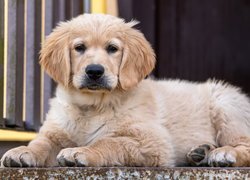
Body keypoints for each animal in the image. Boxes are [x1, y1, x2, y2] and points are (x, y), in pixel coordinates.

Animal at [1, 13, 250, 167]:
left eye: (112, 48)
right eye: (79, 47)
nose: (94, 71)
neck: (92, 106)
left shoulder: (153, 142)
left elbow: (110, 142)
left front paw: (82, 152)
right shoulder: (55, 131)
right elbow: (41, 142)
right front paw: (22, 151)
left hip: (226, 105)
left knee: (245, 144)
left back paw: (222, 153)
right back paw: (200, 152)